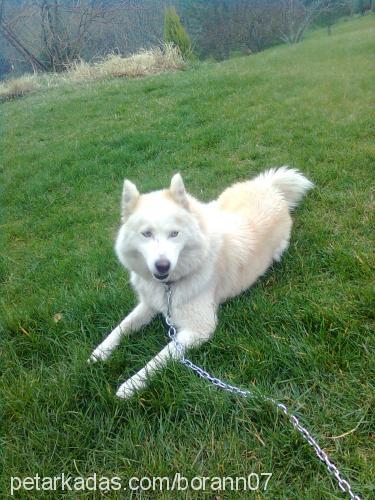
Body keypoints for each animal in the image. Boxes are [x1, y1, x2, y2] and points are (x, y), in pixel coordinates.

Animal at [89, 168, 312, 398]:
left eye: (174, 233)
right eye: (147, 233)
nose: (162, 266)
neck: (169, 285)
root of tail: (269, 187)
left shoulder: (198, 330)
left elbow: (160, 357)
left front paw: (131, 385)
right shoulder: (149, 304)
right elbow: (121, 327)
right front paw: (100, 353)